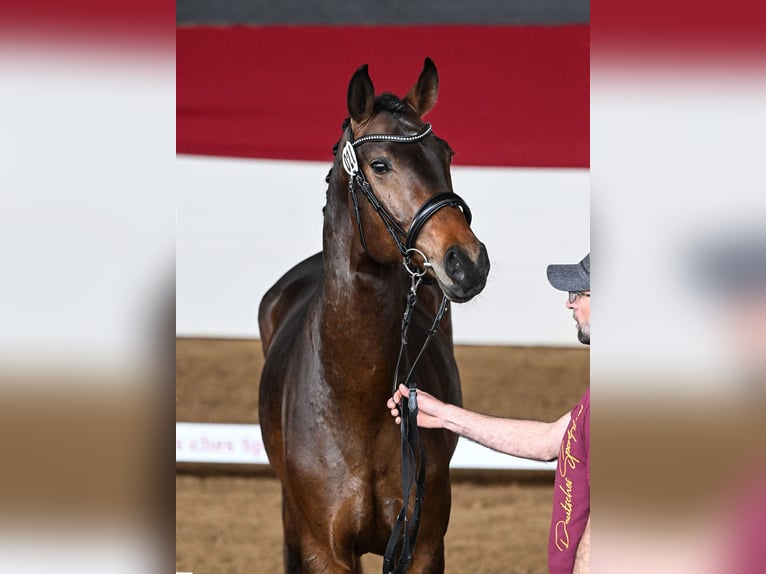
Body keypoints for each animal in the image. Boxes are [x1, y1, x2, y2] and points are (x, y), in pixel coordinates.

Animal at [258, 58, 490, 574]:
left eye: (445, 153)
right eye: (380, 164)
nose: (467, 262)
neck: (355, 401)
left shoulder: (422, 547)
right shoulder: (324, 551)